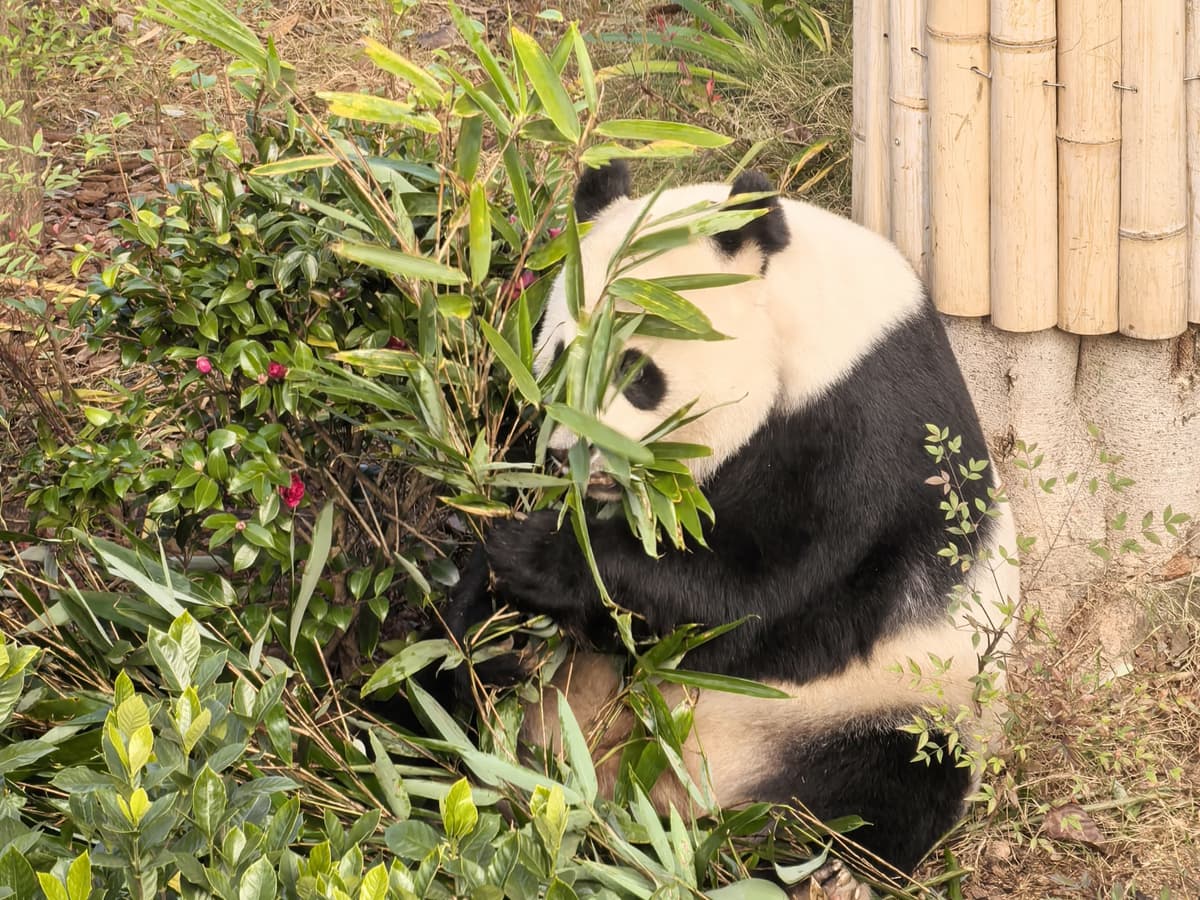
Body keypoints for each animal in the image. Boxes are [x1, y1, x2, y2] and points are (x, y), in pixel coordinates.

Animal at [443, 160, 1020, 878]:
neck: (810, 317)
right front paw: (495, 601)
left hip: (893, 699)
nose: (569, 453)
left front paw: (538, 557)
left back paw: (817, 868)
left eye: (636, 370)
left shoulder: (865, 431)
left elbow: (756, 600)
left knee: (897, 782)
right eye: (555, 358)